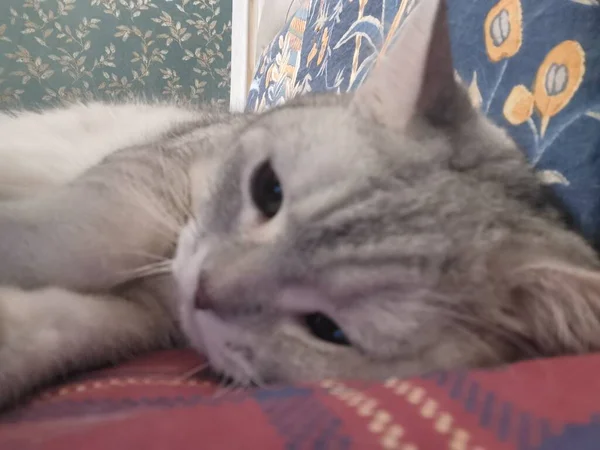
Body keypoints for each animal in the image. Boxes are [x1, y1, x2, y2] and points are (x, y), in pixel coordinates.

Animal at [1, 0, 600, 410]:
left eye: (326, 329)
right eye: (268, 189)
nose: (202, 291)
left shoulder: (141, 317)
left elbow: (61, 327)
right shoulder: (158, 171)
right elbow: (95, 233)